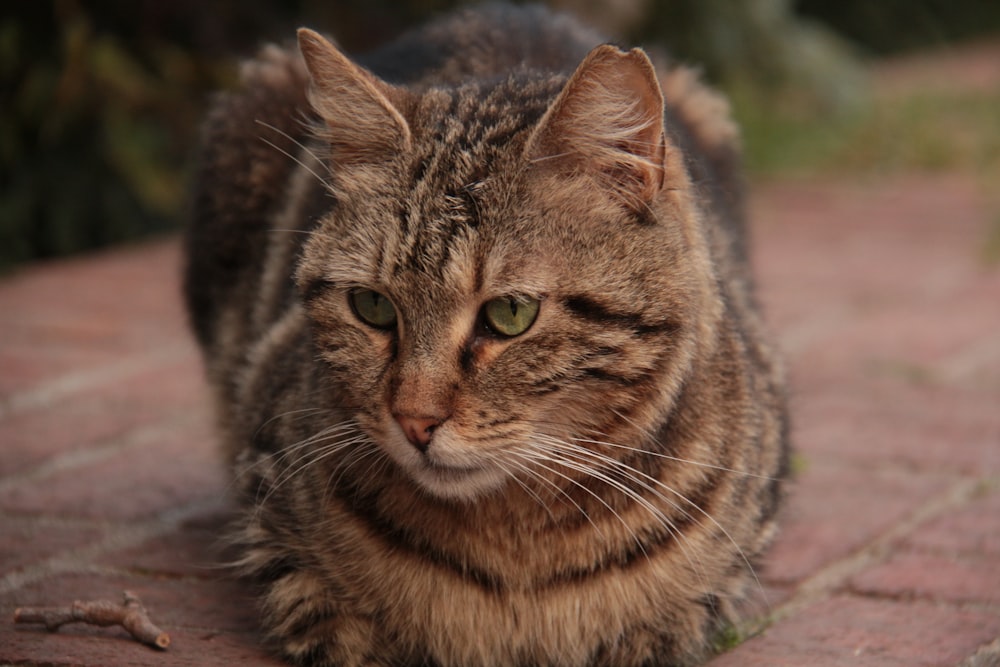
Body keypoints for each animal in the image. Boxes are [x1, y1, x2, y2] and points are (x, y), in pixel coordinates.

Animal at [182, 2, 788, 664]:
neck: (517, 550)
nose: (414, 422)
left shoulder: (703, 599)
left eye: (510, 314)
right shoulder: (283, 543)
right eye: (372, 306)